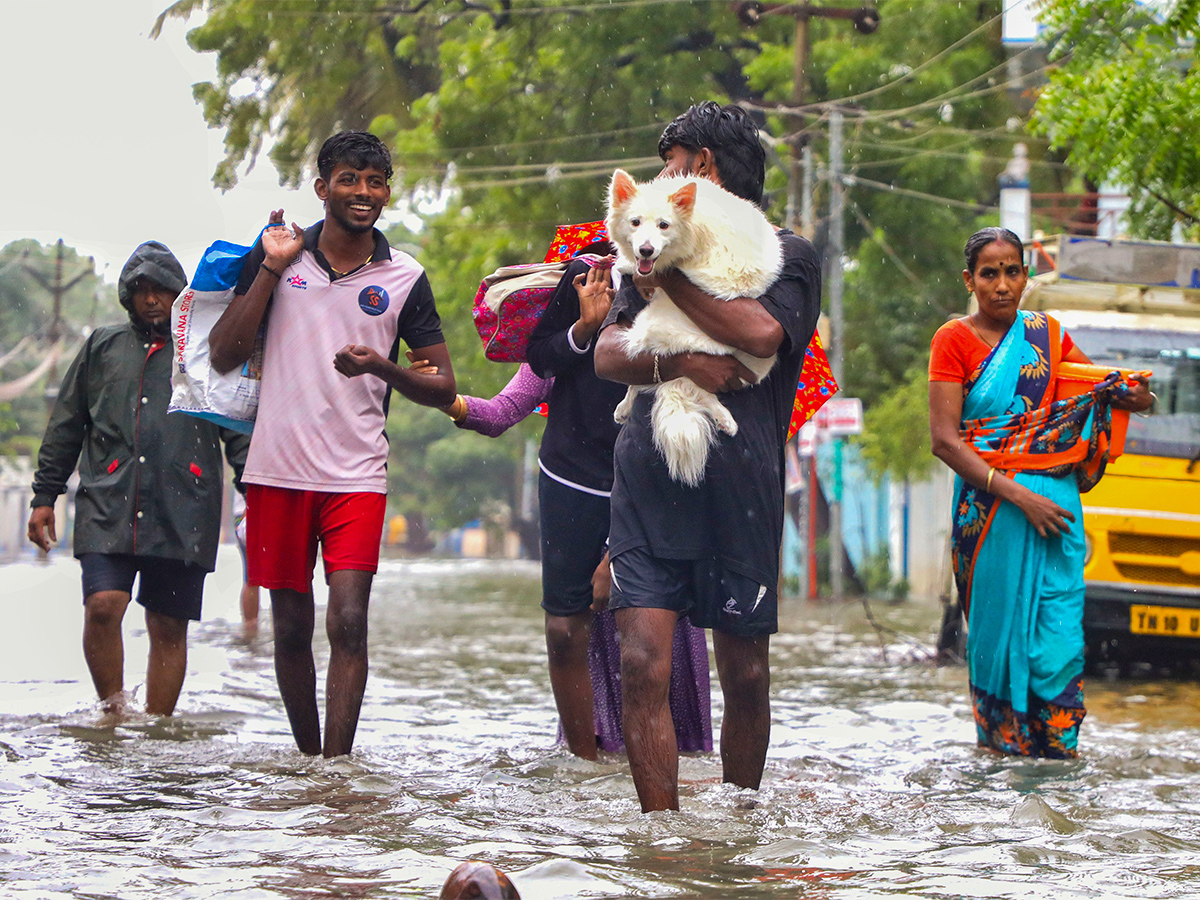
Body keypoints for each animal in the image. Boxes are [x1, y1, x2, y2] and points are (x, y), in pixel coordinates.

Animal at [604, 172, 782, 489]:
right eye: (635, 222)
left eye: (664, 225)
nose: (646, 250)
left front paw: (624, 264)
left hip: (652, 329)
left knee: (687, 387)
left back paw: (724, 418)